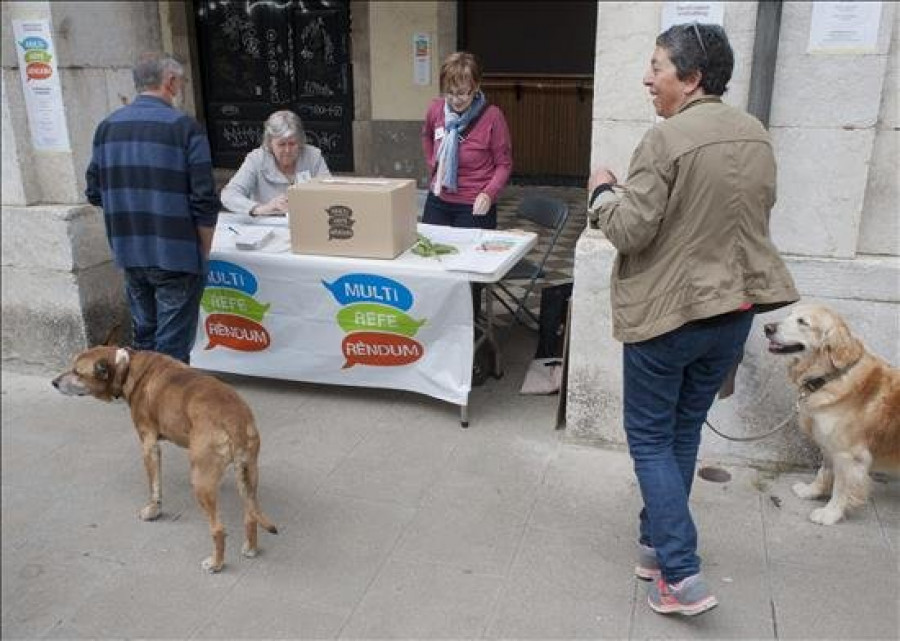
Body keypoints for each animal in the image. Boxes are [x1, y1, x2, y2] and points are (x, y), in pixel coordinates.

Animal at [52, 348, 276, 572]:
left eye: (77, 372)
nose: (54, 382)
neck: (127, 366)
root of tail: (233, 419)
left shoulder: (149, 446)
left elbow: (154, 487)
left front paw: (153, 511)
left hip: (202, 481)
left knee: (218, 529)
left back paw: (216, 563)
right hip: (248, 475)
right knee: (250, 515)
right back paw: (250, 548)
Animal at [768, 306, 900, 524]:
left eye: (802, 322)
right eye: (789, 314)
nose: (767, 327)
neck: (829, 377)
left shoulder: (849, 455)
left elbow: (841, 488)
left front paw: (830, 513)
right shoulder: (829, 444)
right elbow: (824, 471)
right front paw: (811, 491)